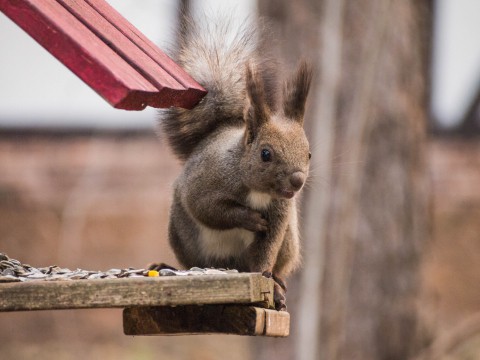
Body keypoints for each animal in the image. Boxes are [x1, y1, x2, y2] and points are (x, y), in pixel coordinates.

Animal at [159, 14, 314, 310]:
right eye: (265, 154)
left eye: (309, 153)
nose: (297, 180)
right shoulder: (206, 183)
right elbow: (207, 209)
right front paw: (249, 218)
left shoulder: (280, 214)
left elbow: (266, 249)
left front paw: (266, 279)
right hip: (183, 237)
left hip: (290, 241)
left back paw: (277, 284)